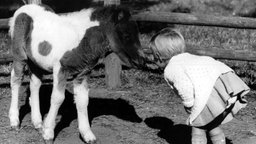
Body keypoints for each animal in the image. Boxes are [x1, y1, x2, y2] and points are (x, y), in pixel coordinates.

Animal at [8, 3, 143, 143]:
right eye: (126, 35)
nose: (142, 61)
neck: (81, 40)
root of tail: (24, 7)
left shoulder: (83, 73)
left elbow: (83, 100)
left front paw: (87, 134)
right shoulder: (60, 69)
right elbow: (57, 98)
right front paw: (48, 133)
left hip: (36, 61)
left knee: (35, 84)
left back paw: (37, 123)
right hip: (19, 55)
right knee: (16, 80)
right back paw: (14, 121)